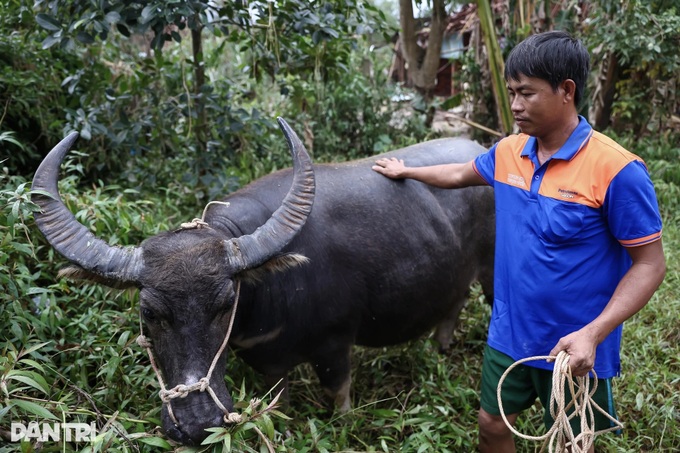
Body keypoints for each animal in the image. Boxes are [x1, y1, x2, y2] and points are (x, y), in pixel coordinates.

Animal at [32, 118, 494, 445]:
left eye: (225, 302)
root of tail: (478, 151)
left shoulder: (336, 346)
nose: (197, 424)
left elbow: (340, 399)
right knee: (453, 304)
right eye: (149, 312)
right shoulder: (269, 363)